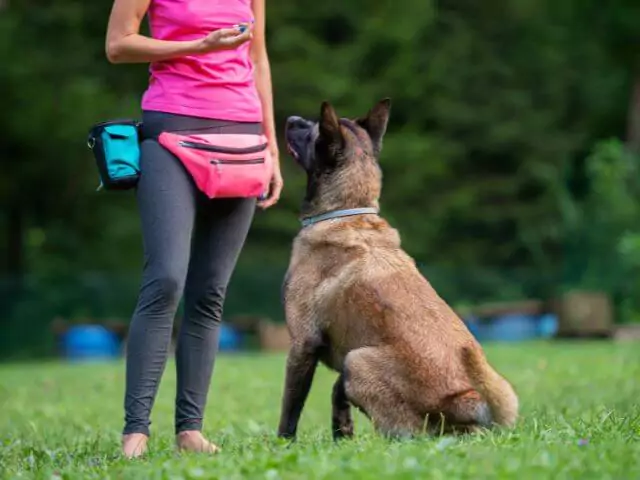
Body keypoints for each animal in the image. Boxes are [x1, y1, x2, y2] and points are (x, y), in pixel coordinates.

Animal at [278, 99, 516, 440]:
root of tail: (465, 399)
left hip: (357, 360)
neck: (346, 212)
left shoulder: (302, 345)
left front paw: (283, 445)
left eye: (313, 132)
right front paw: (342, 434)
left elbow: (290, 409)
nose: (292, 118)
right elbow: (337, 395)